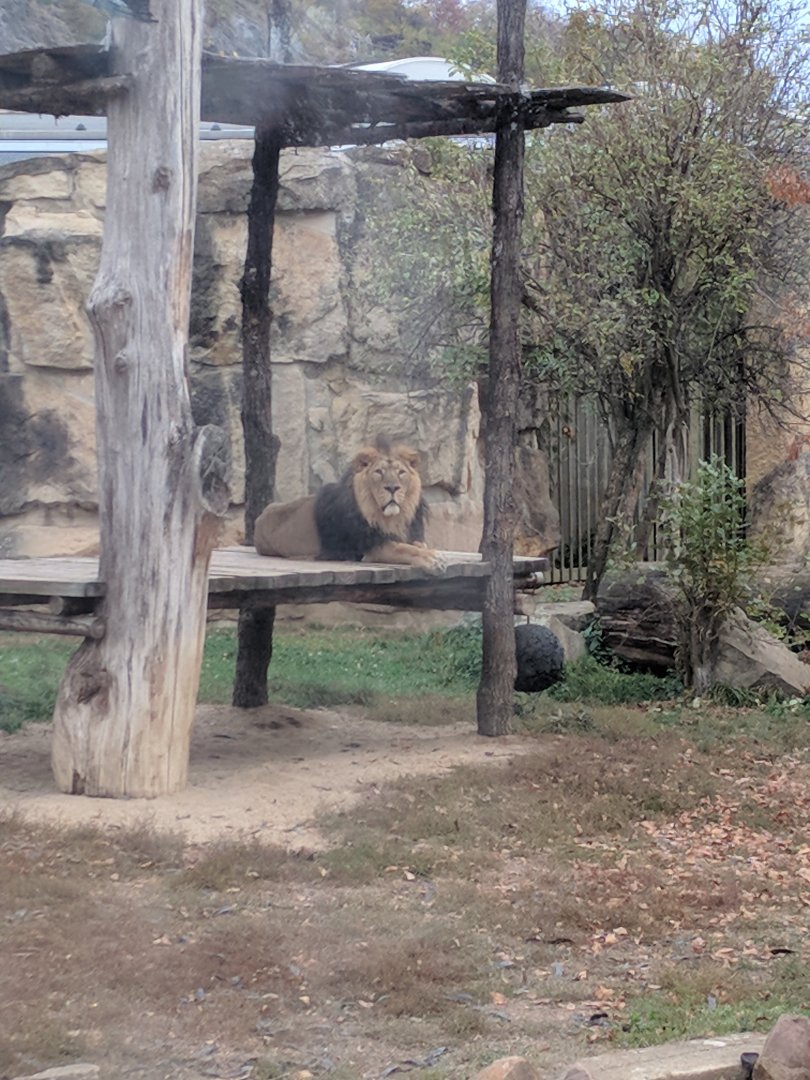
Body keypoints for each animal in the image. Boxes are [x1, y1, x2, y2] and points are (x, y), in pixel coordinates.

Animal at [254, 441, 446, 574]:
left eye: (401, 472)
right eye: (379, 472)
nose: (392, 488)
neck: (392, 518)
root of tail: (260, 517)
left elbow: (417, 544)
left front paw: (428, 551)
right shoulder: (369, 548)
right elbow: (402, 548)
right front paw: (432, 558)